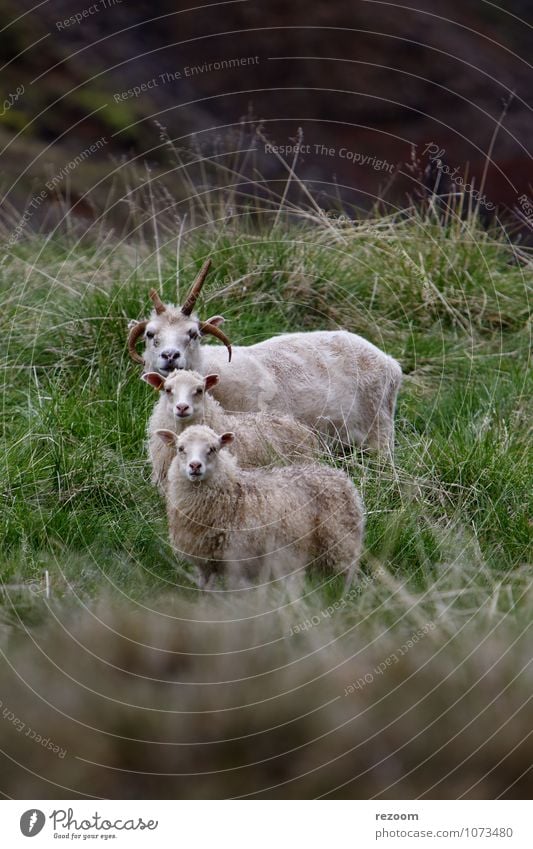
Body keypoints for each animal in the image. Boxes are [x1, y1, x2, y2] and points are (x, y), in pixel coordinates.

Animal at [152, 424, 364, 588]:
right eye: (180, 448)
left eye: (213, 449)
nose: (195, 466)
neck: (230, 492)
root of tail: (338, 475)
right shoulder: (205, 563)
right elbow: (206, 591)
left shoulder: (238, 561)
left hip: (341, 542)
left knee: (348, 574)